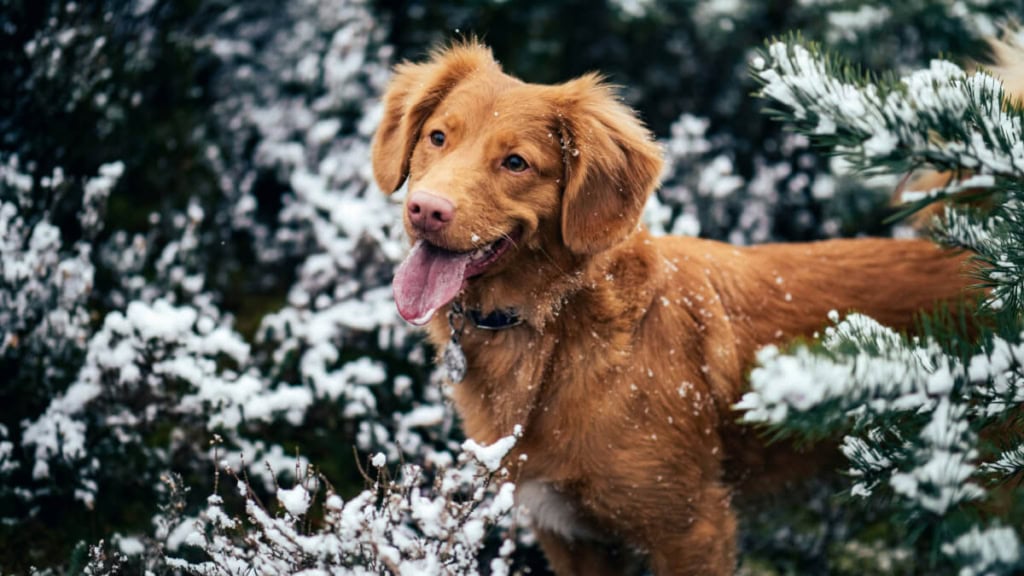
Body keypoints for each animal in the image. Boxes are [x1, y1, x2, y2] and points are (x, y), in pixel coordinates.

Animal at [374, 41, 974, 573]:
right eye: (437, 137)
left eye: (516, 162)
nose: (426, 209)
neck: (553, 331)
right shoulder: (570, 536)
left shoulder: (692, 528)